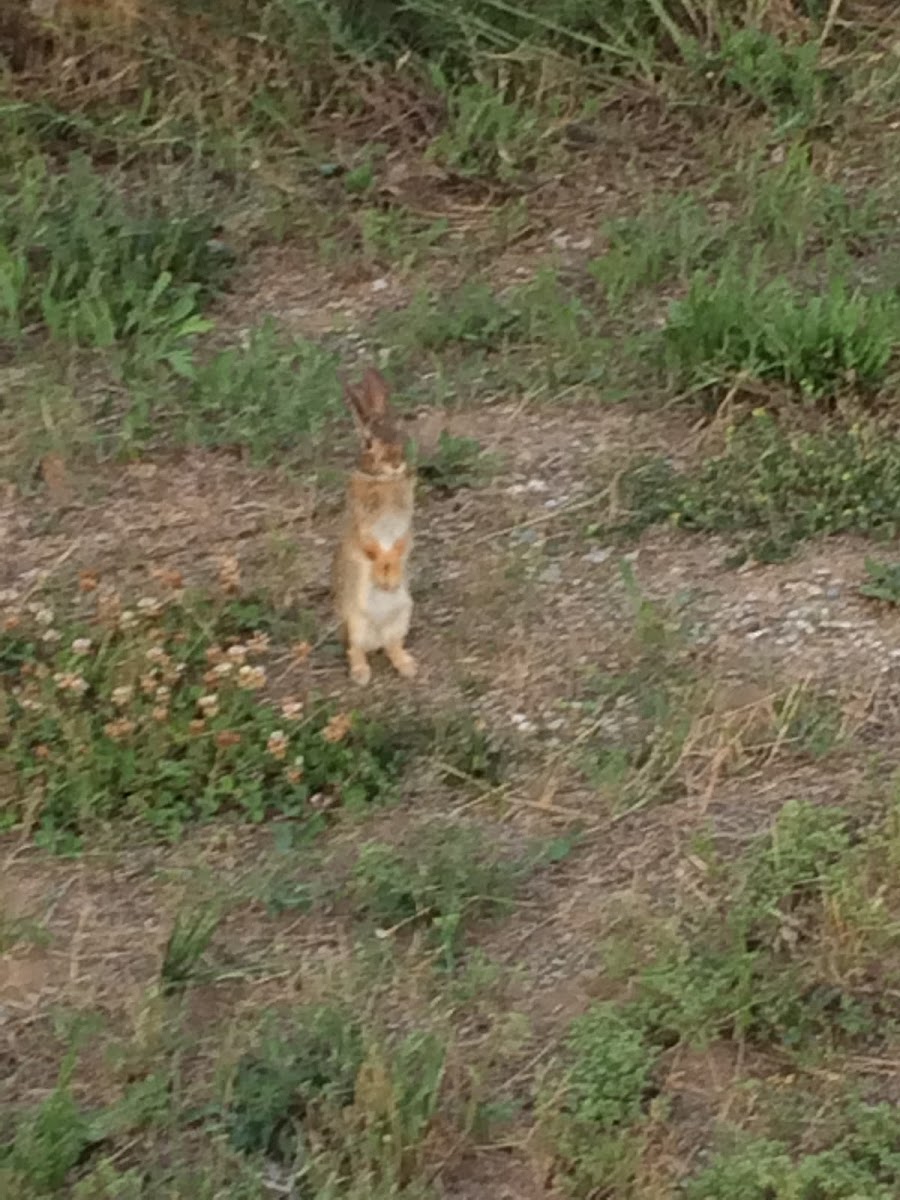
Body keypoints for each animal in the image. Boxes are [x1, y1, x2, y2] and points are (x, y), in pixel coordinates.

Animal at [331, 364, 420, 691]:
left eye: (399, 433)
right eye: (368, 443)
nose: (395, 463)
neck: (383, 480)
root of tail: (377, 637)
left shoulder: (405, 526)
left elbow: (400, 546)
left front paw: (391, 577)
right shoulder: (362, 527)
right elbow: (370, 548)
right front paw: (383, 574)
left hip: (403, 616)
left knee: (393, 646)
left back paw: (408, 667)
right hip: (355, 622)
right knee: (355, 650)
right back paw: (361, 674)